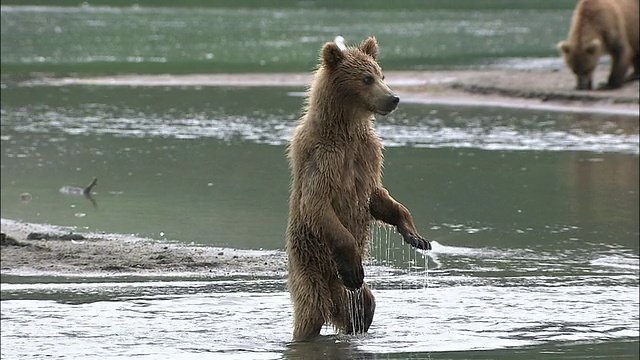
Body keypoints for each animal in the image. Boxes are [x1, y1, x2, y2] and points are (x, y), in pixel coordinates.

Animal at [284, 37, 430, 344]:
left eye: (382, 75)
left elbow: (379, 198)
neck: (346, 128)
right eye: (366, 78)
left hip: (348, 295)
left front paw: (415, 236)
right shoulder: (324, 158)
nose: (393, 98)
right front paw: (352, 266)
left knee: (365, 305)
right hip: (309, 266)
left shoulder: (367, 156)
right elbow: (317, 204)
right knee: (310, 313)